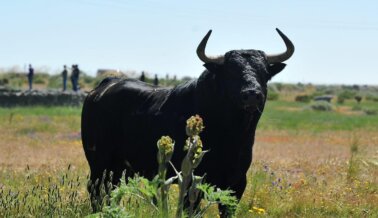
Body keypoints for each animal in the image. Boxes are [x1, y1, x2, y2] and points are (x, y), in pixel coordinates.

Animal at [81, 28, 296, 213]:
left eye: (265, 72)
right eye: (230, 72)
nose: (252, 94)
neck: (233, 135)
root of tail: (102, 87)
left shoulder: (237, 184)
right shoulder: (193, 181)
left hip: (119, 169)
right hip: (99, 164)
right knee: (96, 193)